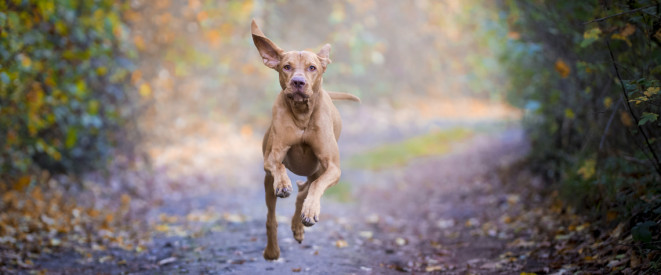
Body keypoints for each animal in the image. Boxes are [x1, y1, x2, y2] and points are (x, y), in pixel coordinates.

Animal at [250, 20, 358, 260]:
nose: (298, 82)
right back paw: (273, 250)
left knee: (306, 189)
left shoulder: (332, 167)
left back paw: (300, 222)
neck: (301, 115)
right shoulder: (271, 157)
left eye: (312, 68)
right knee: (272, 215)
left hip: (317, 169)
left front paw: (310, 211)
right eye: (286, 67)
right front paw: (283, 184)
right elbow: (278, 166)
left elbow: (317, 186)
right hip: (268, 182)